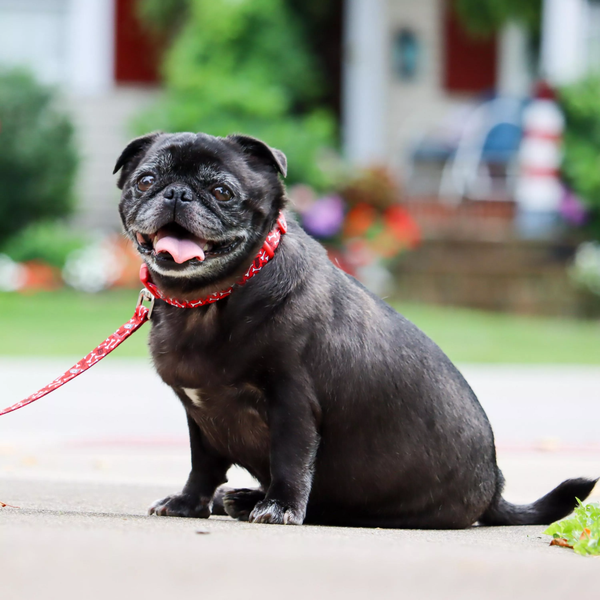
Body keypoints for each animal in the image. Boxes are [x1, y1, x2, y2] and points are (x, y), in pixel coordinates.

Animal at [113, 132, 596, 528]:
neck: (208, 300)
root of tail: (494, 487)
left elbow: (290, 461)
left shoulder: (292, 403)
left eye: (221, 191)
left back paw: (253, 501)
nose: (177, 193)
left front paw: (280, 507)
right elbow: (203, 466)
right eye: (145, 180)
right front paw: (189, 503)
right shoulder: (201, 415)